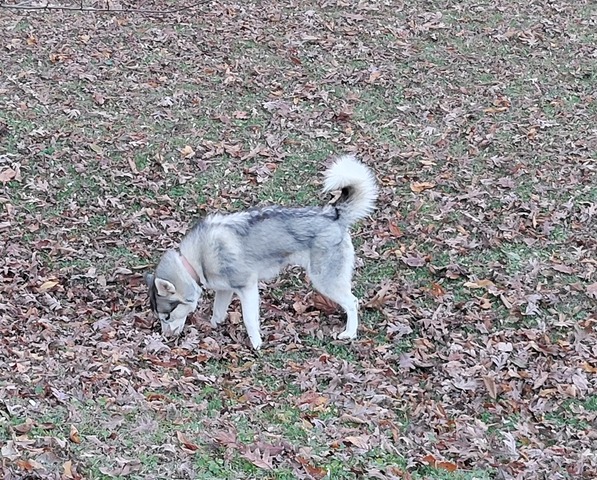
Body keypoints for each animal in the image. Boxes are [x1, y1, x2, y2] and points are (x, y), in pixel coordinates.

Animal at [145, 156, 378, 350]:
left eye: (167, 316)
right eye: (161, 317)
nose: (165, 338)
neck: (194, 260)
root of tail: (333, 214)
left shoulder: (247, 287)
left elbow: (249, 320)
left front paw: (256, 344)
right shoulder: (225, 289)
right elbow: (217, 312)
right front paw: (213, 327)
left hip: (324, 280)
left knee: (353, 302)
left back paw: (349, 333)